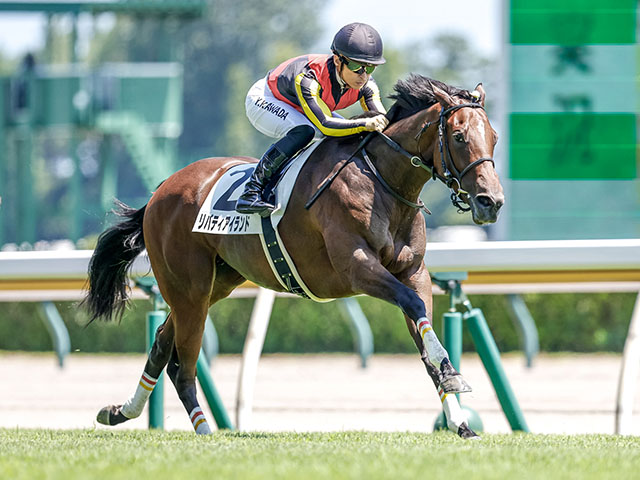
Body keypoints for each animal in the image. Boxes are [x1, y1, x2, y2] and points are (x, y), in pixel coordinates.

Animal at [84, 74, 504, 438]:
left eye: (495, 138)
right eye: (459, 136)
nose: (492, 202)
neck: (382, 181)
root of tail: (160, 191)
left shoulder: (413, 272)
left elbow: (422, 330)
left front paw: (459, 416)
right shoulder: (357, 267)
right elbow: (413, 306)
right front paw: (454, 378)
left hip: (213, 286)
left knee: (161, 342)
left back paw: (121, 411)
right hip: (188, 289)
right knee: (183, 366)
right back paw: (204, 431)